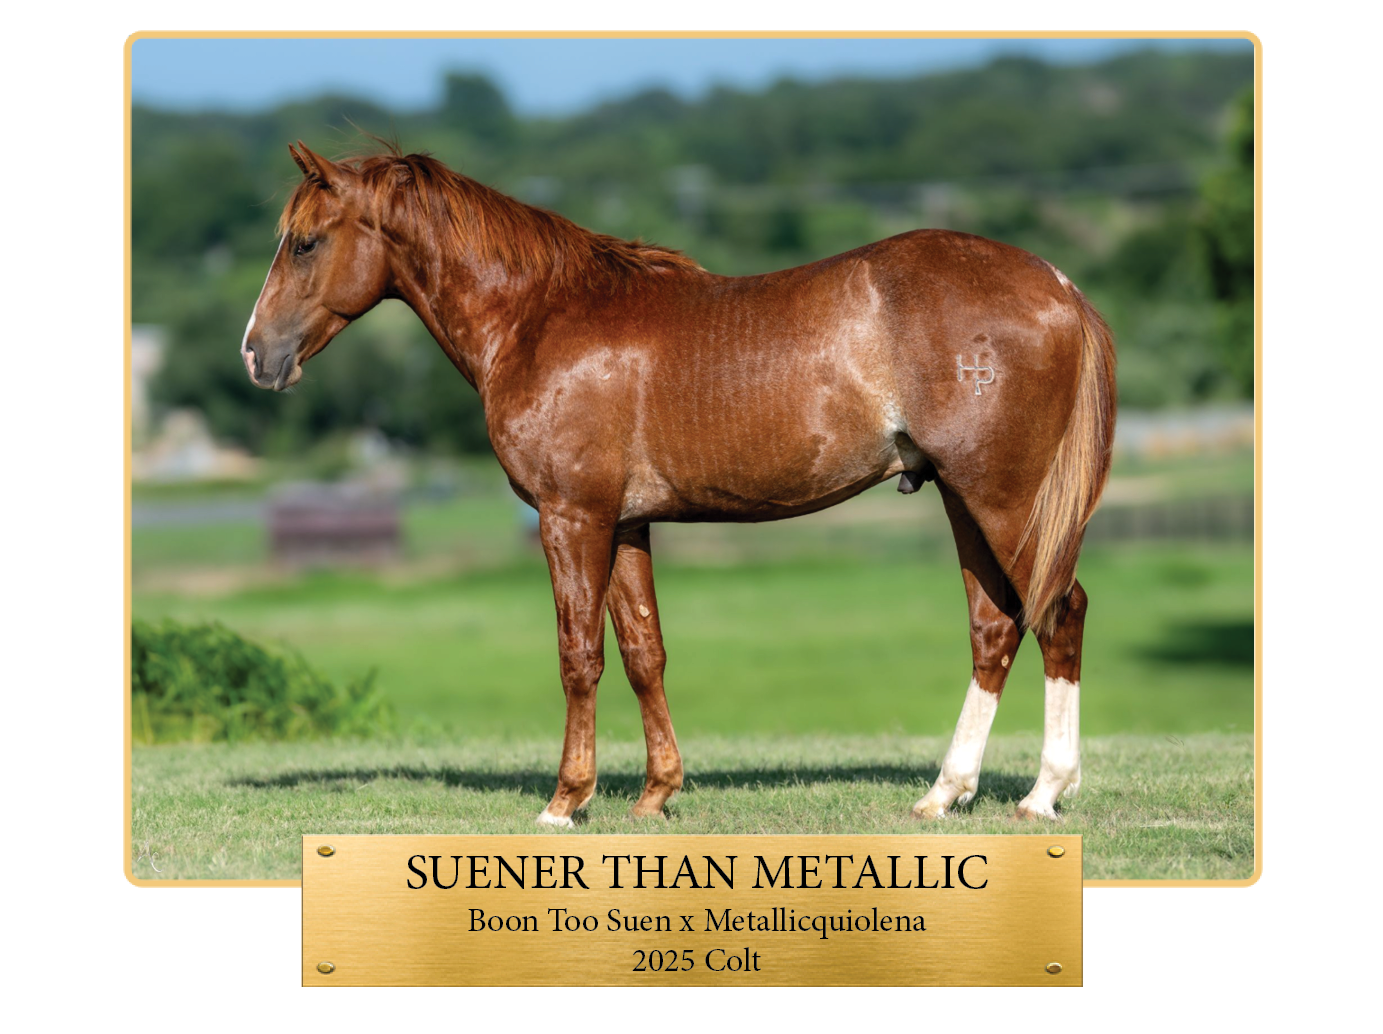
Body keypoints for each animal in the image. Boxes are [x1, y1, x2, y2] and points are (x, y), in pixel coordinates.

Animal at [241, 142, 1116, 827]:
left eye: (305, 243)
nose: (255, 354)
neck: (540, 316)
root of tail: (1058, 284)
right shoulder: (625, 523)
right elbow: (642, 652)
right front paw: (656, 793)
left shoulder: (571, 518)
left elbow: (578, 654)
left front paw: (565, 800)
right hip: (963, 497)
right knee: (995, 627)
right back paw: (945, 792)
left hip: (1006, 499)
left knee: (1059, 612)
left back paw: (1043, 793)